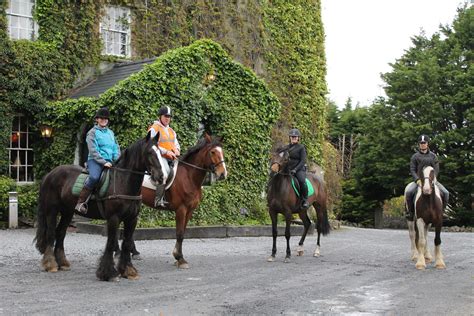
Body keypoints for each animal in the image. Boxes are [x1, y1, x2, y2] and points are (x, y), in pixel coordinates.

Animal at [34, 132, 164, 280]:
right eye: (149, 152)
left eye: (160, 152)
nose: (160, 176)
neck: (122, 181)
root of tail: (50, 174)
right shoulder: (113, 218)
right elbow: (111, 242)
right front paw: (107, 272)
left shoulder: (132, 219)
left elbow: (126, 243)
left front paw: (128, 270)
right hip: (52, 210)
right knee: (51, 234)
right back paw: (50, 264)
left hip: (67, 212)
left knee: (60, 233)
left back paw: (62, 263)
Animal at [140, 133, 227, 270]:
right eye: (212, 152)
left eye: (222, 151)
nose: (223, 174)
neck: (189, 176)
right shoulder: (181, 209)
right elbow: (179, 233)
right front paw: (179, 258)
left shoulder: (190, 210)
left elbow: (183, 233)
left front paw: (178, 257)